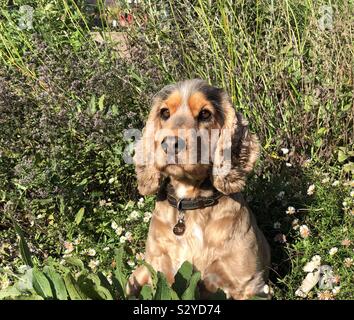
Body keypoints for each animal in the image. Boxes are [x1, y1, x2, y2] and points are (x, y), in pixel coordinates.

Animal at [129, 79, 270, 298]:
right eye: (164, 112)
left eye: (205, 114)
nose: (170, 143)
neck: (189, 202)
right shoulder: (159, 269)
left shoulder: (248, 283)